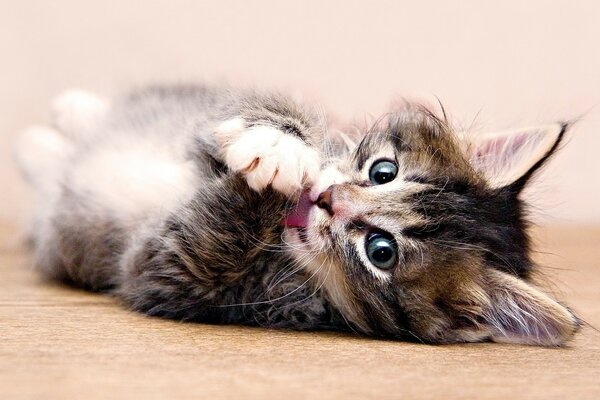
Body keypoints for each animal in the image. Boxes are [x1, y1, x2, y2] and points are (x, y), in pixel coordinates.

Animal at [16, 85, 580, 346]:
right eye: (383, 171)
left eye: (381, 251)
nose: (328, 199)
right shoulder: (225, 116)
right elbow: (262, 110)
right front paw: (281, 146)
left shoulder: (172, 276)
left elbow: (188, 250)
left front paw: (273, 180)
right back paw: (70, 115)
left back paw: (40, 147)